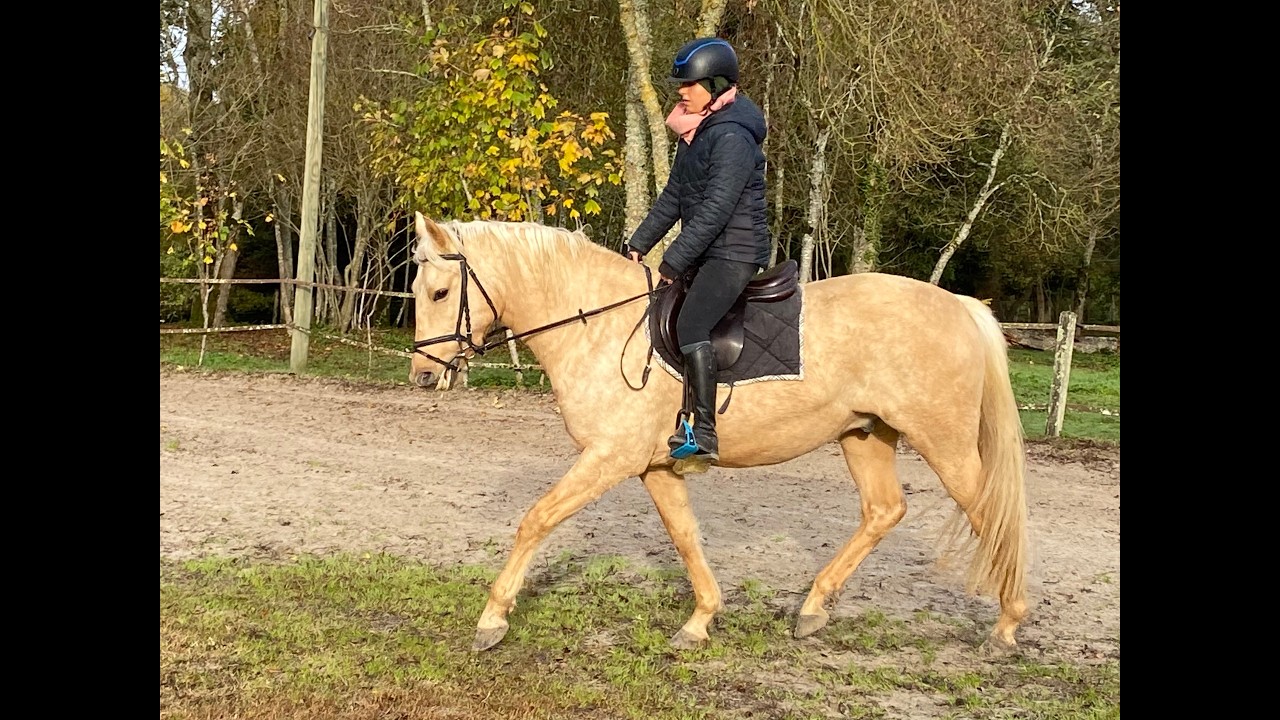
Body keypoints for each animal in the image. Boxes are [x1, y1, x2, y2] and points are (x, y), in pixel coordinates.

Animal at [407, 211, 1030, 656]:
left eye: (440, 293)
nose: (423, 375)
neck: (600, 326)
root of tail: (960, 305)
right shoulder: (653, 465)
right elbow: (685, 537)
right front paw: (701, 620)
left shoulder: (609, 457)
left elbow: (536, 520)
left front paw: (492, 618)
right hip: (865, 435)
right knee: (884, 510)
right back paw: (814, 608)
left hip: (944, 443)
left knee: (991, 516)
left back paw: (1006, 626)